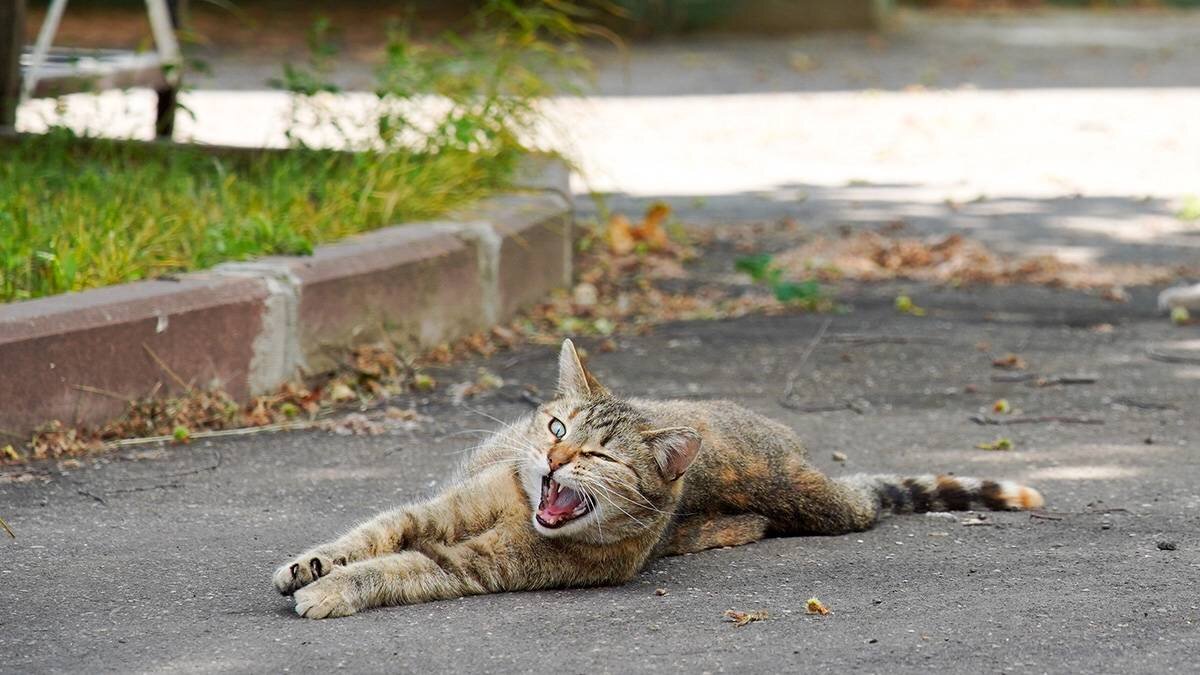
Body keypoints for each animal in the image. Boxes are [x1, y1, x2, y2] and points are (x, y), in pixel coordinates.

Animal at [276, 338, 1046, 619]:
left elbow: (389, 569)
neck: (520, 511)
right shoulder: (433, 512)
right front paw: (308, 565)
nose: (555, 461)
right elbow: (366, 536)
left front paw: (330, 589)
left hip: (826, 504)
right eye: (559, 430)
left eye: (604, 458)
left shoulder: (465, 565)